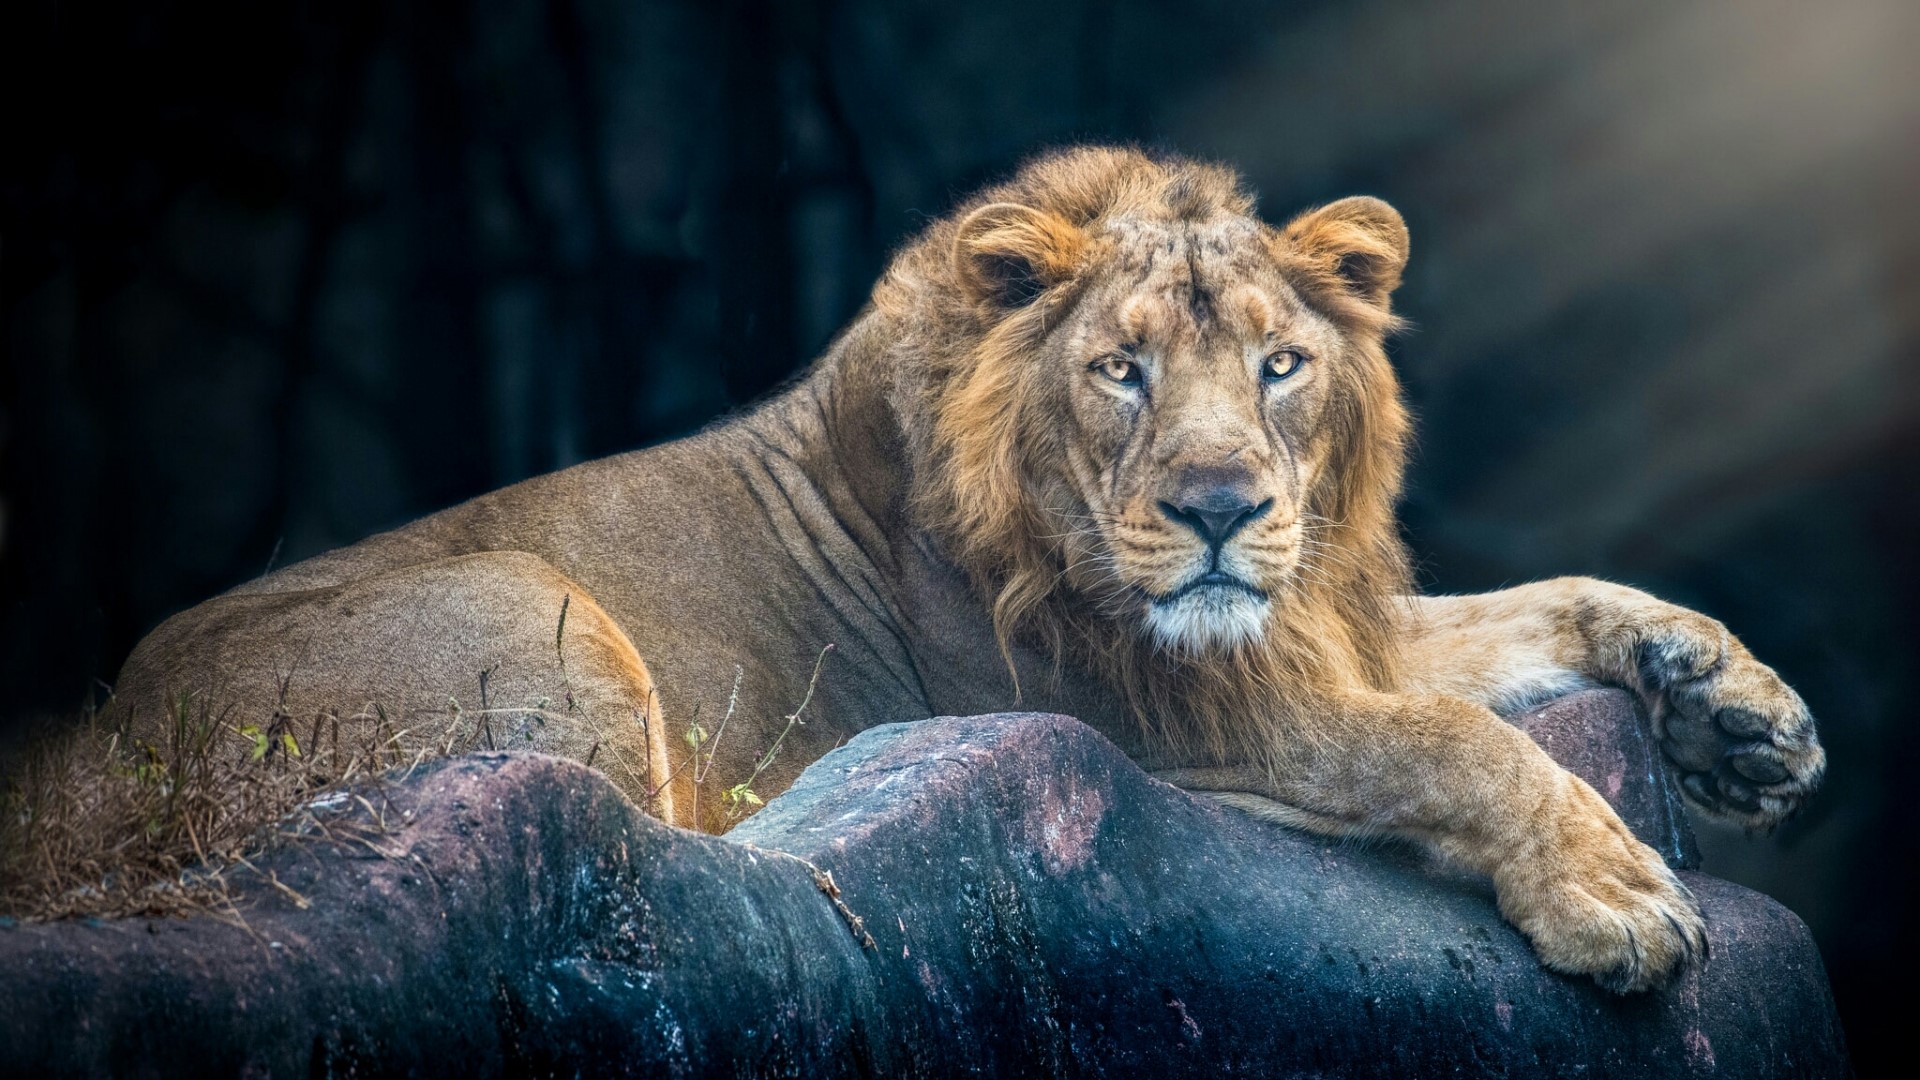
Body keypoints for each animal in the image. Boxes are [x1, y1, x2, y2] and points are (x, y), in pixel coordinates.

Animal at [115, 146, 1824, 993]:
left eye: (1279, 364)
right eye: (1122, 372)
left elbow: (1526, 615)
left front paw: (1738, 711)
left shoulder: (1295, 623)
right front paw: (1619, 893)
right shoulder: (1149, 719)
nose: (1221, 509)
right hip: (531, 616)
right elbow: (1448, 738)